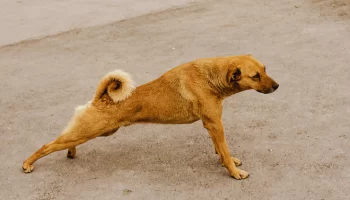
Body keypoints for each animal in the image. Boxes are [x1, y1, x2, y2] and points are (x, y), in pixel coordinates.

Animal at [21, 54, 278, 180]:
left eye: (265, 69)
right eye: (255, 76)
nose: (276, 86)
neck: (210, 77)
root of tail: (101, 98)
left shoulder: (213, 126)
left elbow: (221, 150)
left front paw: (229, 161)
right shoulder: (215, 125)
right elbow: (224, 150)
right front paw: (234, 172)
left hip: (93, 133)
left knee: (65, 142)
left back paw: (71, 153)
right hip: (88, 131)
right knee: (46, 146)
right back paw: (27, 164)